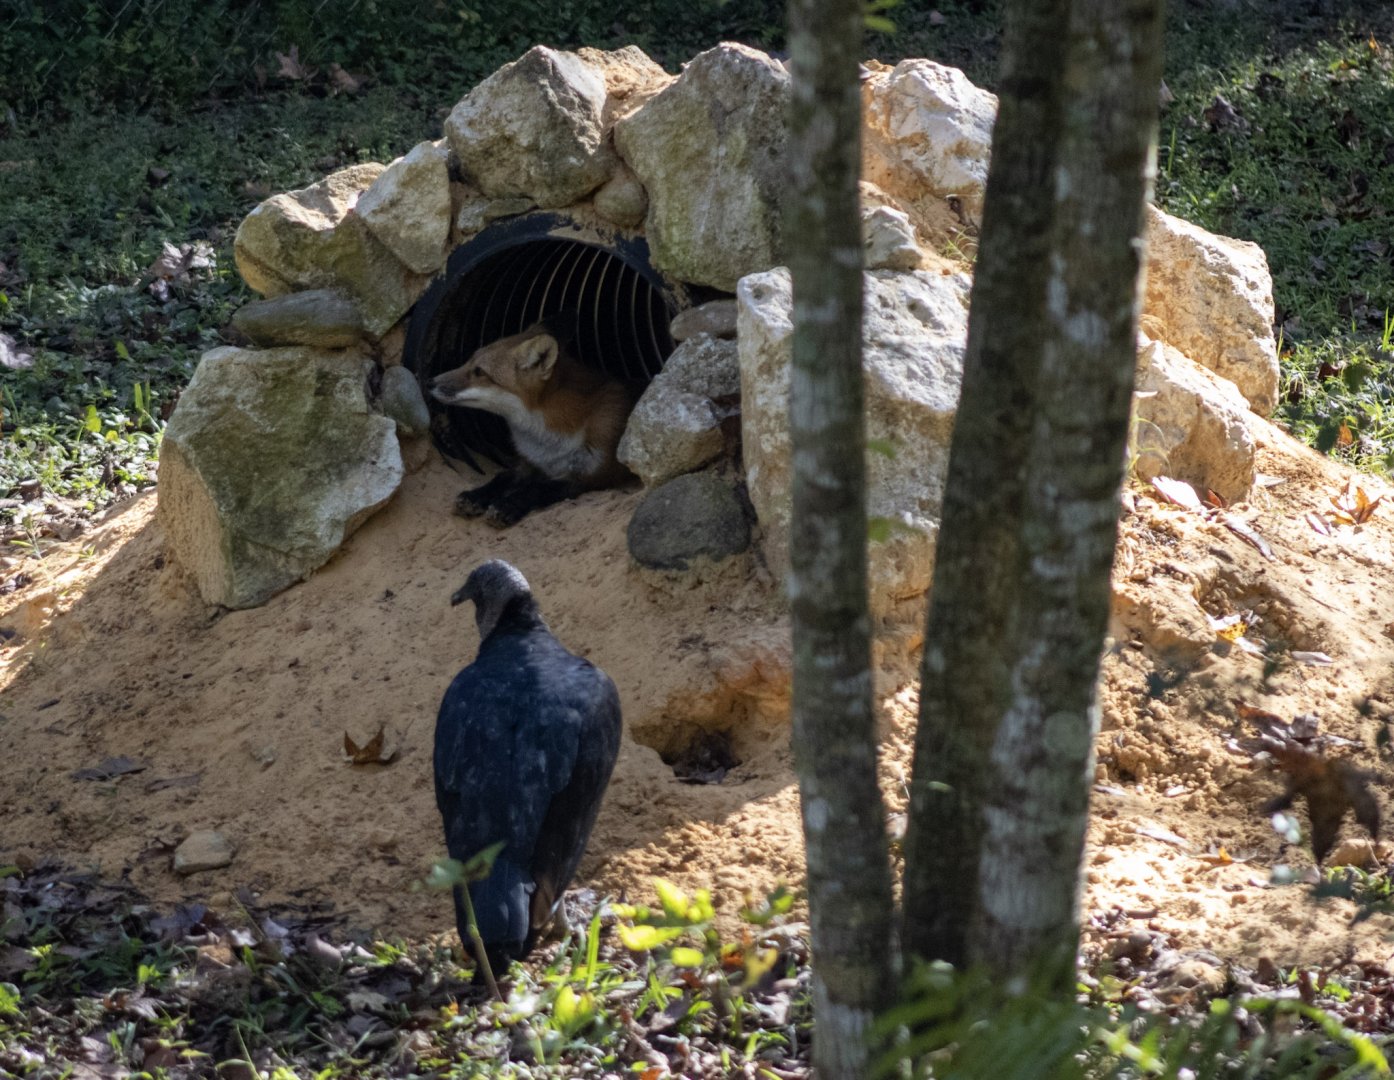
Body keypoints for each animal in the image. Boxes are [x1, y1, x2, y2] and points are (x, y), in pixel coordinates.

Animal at [428, 316, 636, 528]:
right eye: (469, 360)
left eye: (479, 372)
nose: (429, 382)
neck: (548, 443)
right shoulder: (528, 463)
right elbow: (501, 477)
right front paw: (476, 495)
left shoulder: (591, 476)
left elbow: (538, 489)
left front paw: (507, 505)